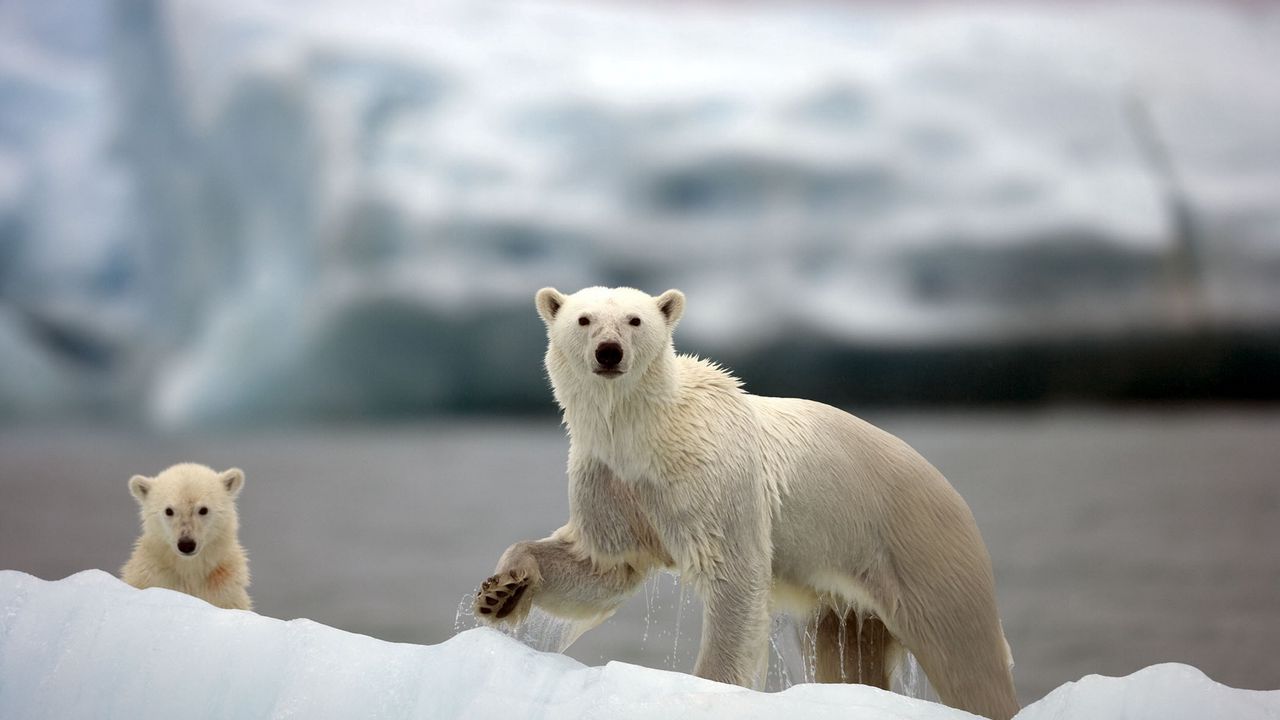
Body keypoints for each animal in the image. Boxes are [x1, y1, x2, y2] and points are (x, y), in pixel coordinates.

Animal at [476, 285, 1013, 717]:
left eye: (635, 320)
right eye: (584, 319)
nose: (609, 352)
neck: (646, 435)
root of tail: (948, 489)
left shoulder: (713, 479)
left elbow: (733, 576)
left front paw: (707, 688)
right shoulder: (610, 481)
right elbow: (603, 565)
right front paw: (501, 592)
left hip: (920, 548)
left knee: (965, 653)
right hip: (849, 598)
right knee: (848, 655)